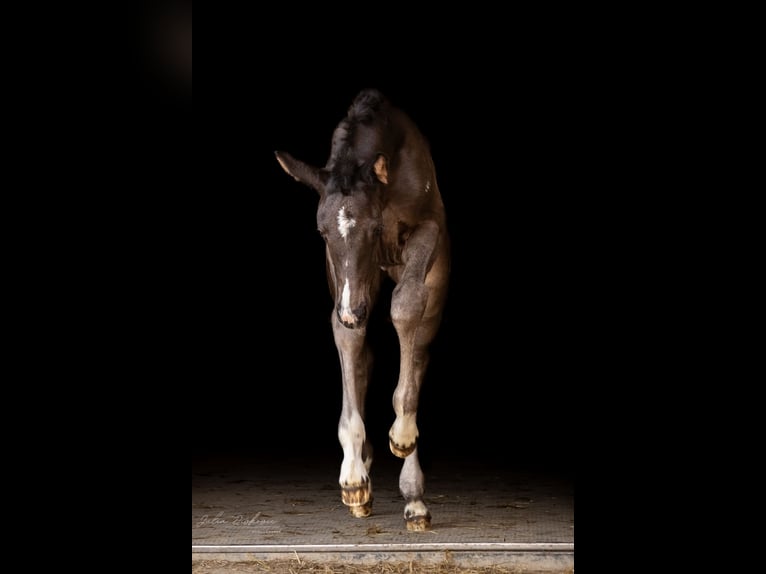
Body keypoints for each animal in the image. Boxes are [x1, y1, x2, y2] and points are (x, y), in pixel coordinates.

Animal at [275, 89, 450, 531]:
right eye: (321, 231)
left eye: (372, 229)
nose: (352, 310)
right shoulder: (345, 284)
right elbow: (349, 338)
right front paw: (354, 481)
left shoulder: (427, 231)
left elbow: (405, 308)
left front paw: (401, 435)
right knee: (365, 355)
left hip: (433, 286)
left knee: (418, 348)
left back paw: (414, 497)